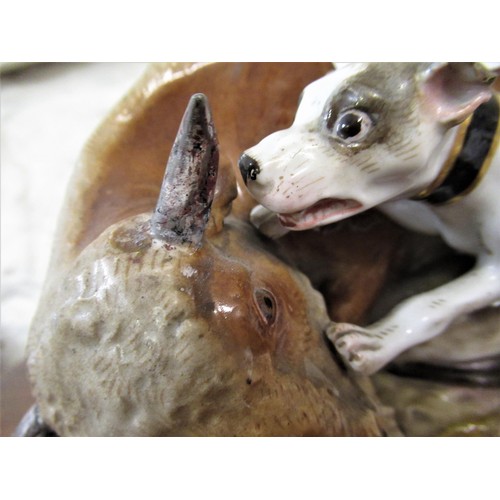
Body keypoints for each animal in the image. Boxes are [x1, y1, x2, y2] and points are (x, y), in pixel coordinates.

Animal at [239, 62, 500, 376]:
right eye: (303, 100)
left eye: (351, 126)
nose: (247, 165)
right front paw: (270, 217)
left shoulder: (494, 270)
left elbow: (432, 304)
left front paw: (372, 342)